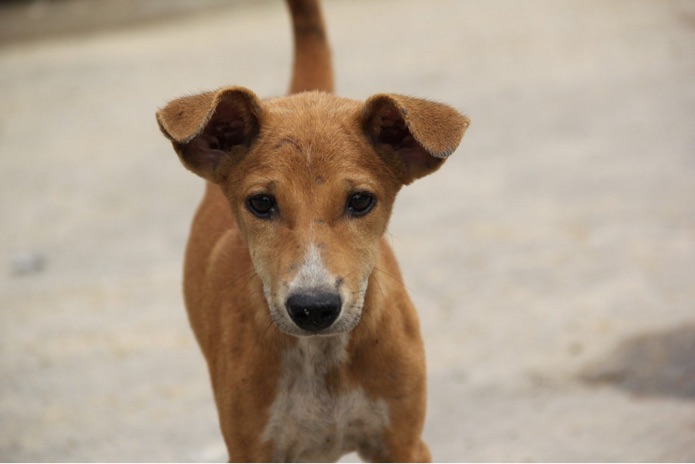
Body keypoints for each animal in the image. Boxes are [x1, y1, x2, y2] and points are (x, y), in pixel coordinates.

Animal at [157, 0, 470, 460]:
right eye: (261, 203)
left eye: (360, 200)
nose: (314, 308)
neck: (322, 358)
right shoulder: (250, 450)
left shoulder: (405, 445)